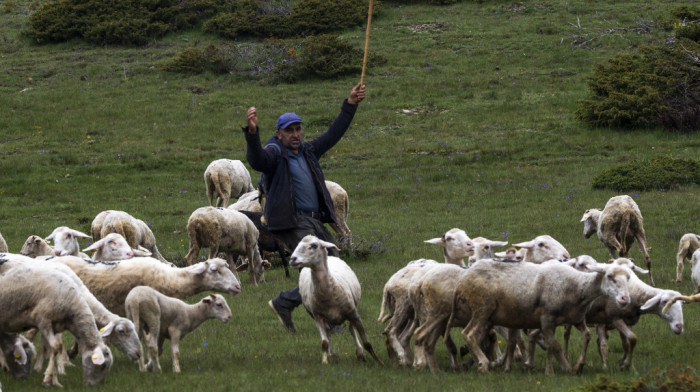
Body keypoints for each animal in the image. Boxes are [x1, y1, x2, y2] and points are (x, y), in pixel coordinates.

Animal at [0, 256, 112, 388]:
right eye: (103, 366)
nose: (93, 386)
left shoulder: (54, 326)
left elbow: (49, 347)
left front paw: (51, 377)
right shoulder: (43, 320)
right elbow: (56, 346)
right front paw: (48, 379)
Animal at [292, 234, 386, 366]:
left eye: (314, 245)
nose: (292, 259)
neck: (329, 292)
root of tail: (331, 257)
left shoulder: (354, 314)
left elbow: (367, 342)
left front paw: (379, 362)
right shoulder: (318, 317)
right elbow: (324, 342)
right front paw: (325, 361)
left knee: (351, 329)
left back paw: (360, 354)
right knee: (328, 332)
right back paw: (333, 356)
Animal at [452, 258, 632, 376]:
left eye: (628, 277)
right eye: (609, 276)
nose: (625, 299)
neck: (576, 286)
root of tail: (463, 280)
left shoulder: (576, 319)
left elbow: (586, 336)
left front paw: (577, 366)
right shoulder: (547, 319)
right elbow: (554, 345)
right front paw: (555, 370)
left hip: (488, 316)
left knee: (477, 338)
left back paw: (477, 362)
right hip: (482, 308)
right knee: (468, 334)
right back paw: (483, 364)